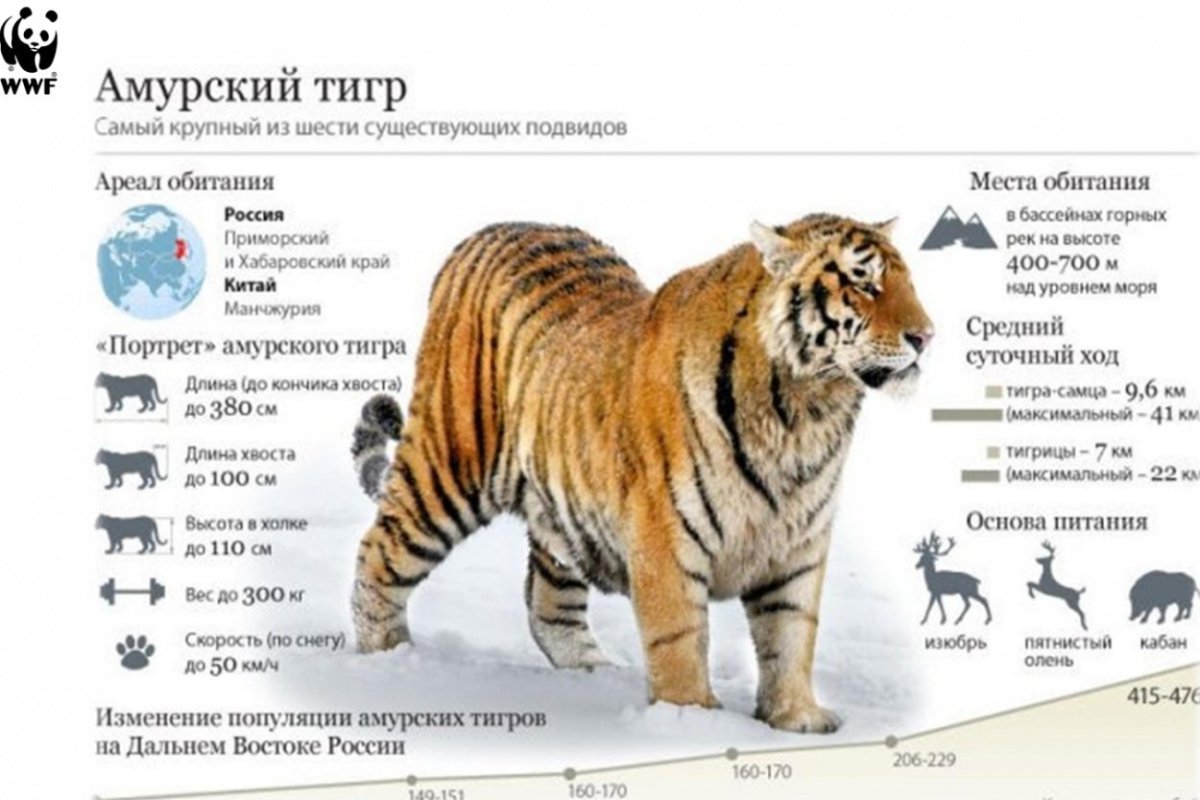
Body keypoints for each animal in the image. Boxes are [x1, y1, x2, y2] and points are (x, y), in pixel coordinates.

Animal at [348, 215, 933, 732]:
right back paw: (387, 658)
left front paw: (796, 720)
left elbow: (792, 633)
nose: (926, 336)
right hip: (449, 467)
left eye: (908, 280)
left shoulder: (797, 543)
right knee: (380, 551)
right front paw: (691, 724)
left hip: (560, 506)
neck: (808, 409)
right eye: (863, 282)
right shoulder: (666, 537)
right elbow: (679, 639)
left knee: (548, 602)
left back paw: (591, 673)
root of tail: (487, 231)